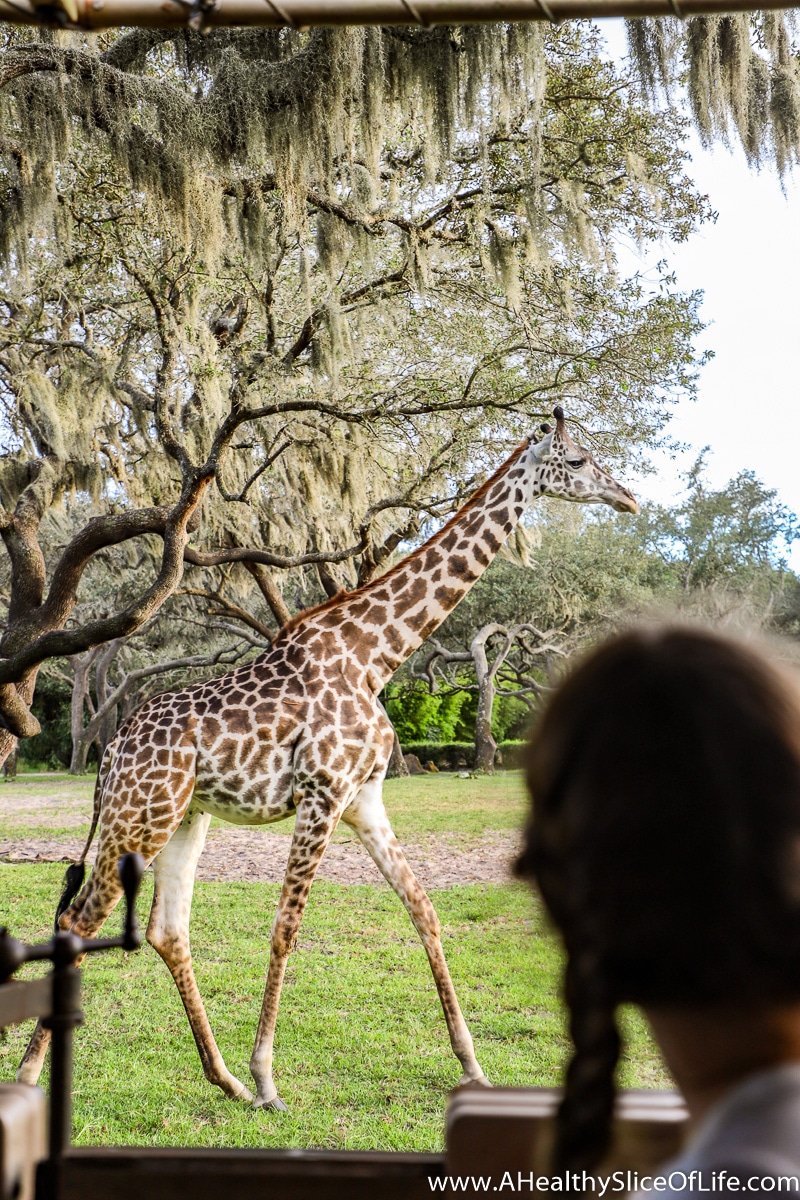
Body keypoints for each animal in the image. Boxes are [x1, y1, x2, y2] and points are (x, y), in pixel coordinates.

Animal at [18, 406, 637, 1110]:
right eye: (580, 459)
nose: (628, 498)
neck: (375, 655)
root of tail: (112, 751)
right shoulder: (323, 792)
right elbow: (286, 927)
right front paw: (268, 1075)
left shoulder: (365, 798)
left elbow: (425, 911)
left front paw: (472, 1066)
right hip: (138, 815)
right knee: (78, 918)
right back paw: (37, 1077)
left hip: (183, 816)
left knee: (166, 929)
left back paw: (224, 1079)